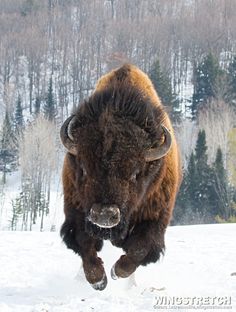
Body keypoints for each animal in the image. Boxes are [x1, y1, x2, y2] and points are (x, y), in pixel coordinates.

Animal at [60, 63, 182, 290]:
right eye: (84, 169)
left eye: (135, 173)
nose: (104, 215)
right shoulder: (77, 211)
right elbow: (84, 244)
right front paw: (98, 280)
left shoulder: (155, 218)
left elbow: (140, 248)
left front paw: (116, 272)